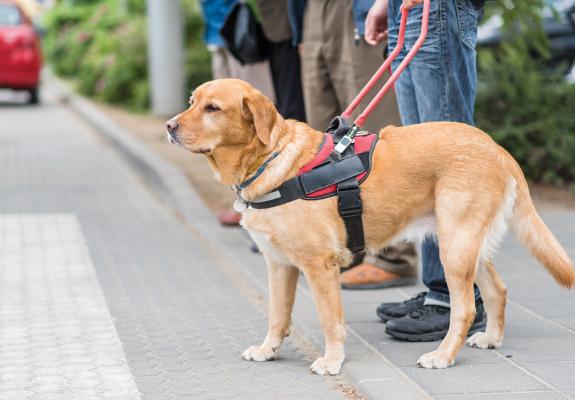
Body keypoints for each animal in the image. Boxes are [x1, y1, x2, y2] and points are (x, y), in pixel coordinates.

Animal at [166, 79, 575, 376]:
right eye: (192, 101)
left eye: (213, 108)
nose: (168, 126)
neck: (272, 158)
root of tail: (497, 148)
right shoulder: (279, 264)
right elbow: (278, 315)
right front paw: (269, 349)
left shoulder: (320, 265)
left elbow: (330, 320)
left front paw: (332, 360)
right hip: (465, 243)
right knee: (497, 291)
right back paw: (491, 338)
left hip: (454, 248)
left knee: (463, 310)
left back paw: (443, 355)